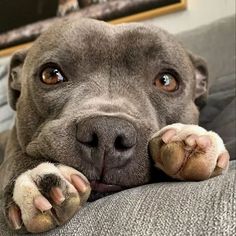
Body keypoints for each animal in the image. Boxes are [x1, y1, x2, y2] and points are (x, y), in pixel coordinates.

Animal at [0, 18, 230, 232]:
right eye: (51, 75)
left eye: (166, 81)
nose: (107, 132)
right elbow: (14, 157)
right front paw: (35, 176)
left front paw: (188, 138)